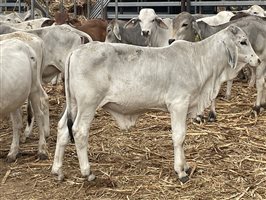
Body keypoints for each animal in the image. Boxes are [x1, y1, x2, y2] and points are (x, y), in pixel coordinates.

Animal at [52, 25, 260, 184]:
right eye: (243, 41)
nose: (258, 59)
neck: (198, 60)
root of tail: (76, 51)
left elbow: (183, 137)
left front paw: (186, 166)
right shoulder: (178, 104)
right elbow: (179, 137)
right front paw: (181, 171)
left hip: (73, 104)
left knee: (63, 129)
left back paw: (57, 170)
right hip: (88, 104)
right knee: (78, 131)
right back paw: (87, 172)